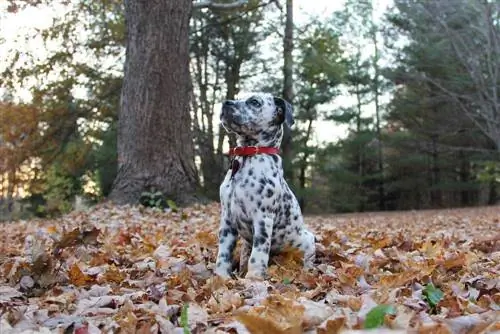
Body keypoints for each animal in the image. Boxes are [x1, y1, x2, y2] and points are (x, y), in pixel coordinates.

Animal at [213, 91, 314, 280]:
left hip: (307, 240)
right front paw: (221, 278)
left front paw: (254, 279)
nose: (225, 103)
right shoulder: (227, 220)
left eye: (254, 102)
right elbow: (223, 254)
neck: (248, 157)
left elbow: (258, 255)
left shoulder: (262, 218)